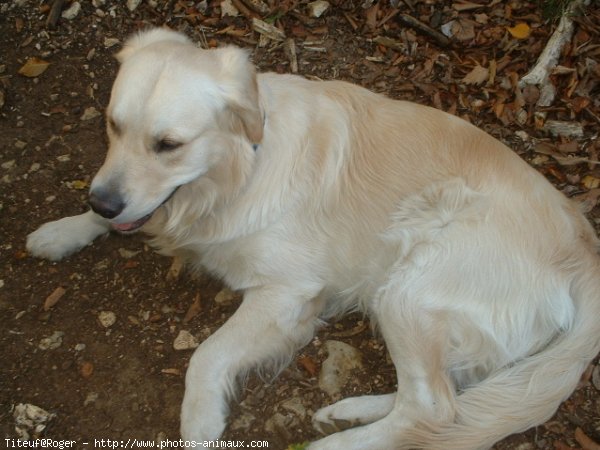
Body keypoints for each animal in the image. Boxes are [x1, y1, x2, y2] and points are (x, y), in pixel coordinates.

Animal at [27, 29, 600, 450]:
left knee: (433, 410)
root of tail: (586, 253)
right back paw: (351, 411)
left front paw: (199, 420)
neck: (238, 171)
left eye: (168, 145)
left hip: (413, 281)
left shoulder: (287, 293)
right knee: (451, 397)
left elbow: (207, 354)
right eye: (112, 125)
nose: (103, 201)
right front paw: (64, 229)